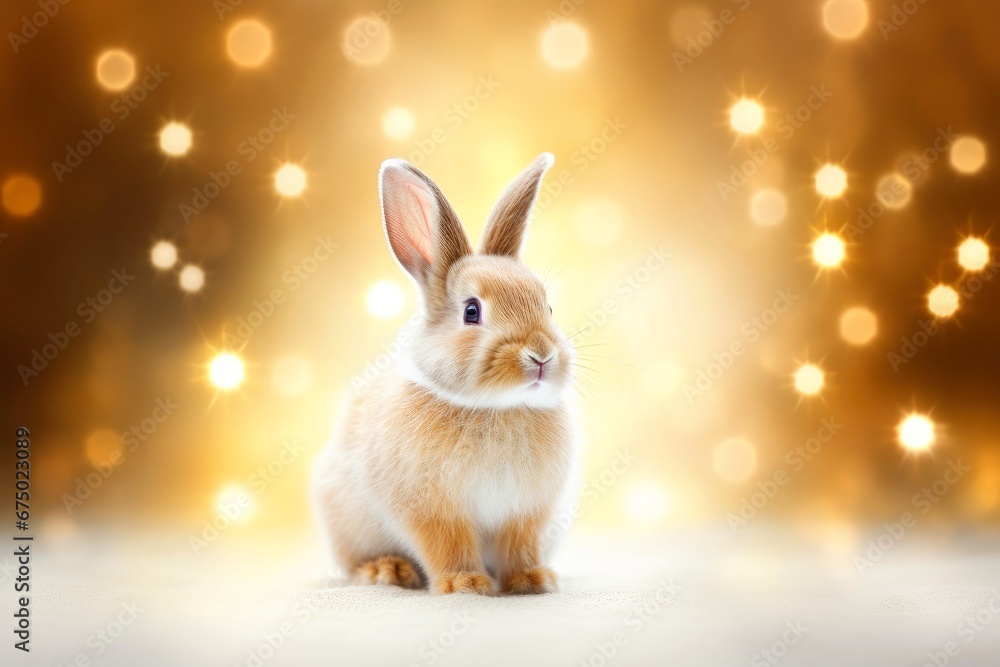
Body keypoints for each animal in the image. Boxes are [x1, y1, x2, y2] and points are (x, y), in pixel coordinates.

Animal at [311, 153, 579, 595]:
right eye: (472, 311)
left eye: (548, 308)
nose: (540, 355)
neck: (495, 407)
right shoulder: (432, 510)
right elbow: (446, 544)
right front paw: (464, 583)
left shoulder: (524, 512)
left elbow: (520, 546)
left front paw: (533, 580)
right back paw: (386, 570)